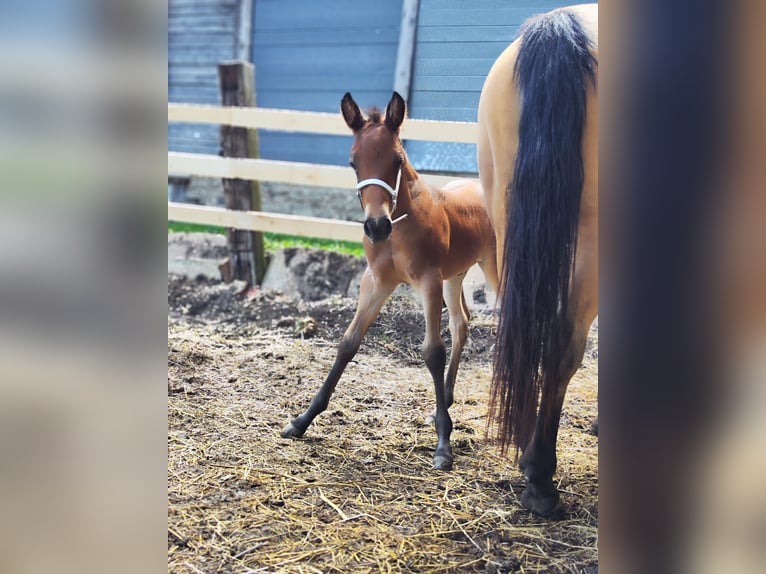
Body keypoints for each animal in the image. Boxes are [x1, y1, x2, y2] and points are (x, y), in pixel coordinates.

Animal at [281, 91, 499, 471]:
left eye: (397, 159)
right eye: (353, 162)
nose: (376, 226)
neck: (399, 227)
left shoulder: (427, 281)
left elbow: (432, 351)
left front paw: (443, 445)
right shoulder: (377, 281)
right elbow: (348, 342)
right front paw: (302, 420)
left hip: (493, 268)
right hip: (454, 276)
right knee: (461, 324)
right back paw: (447, 398)